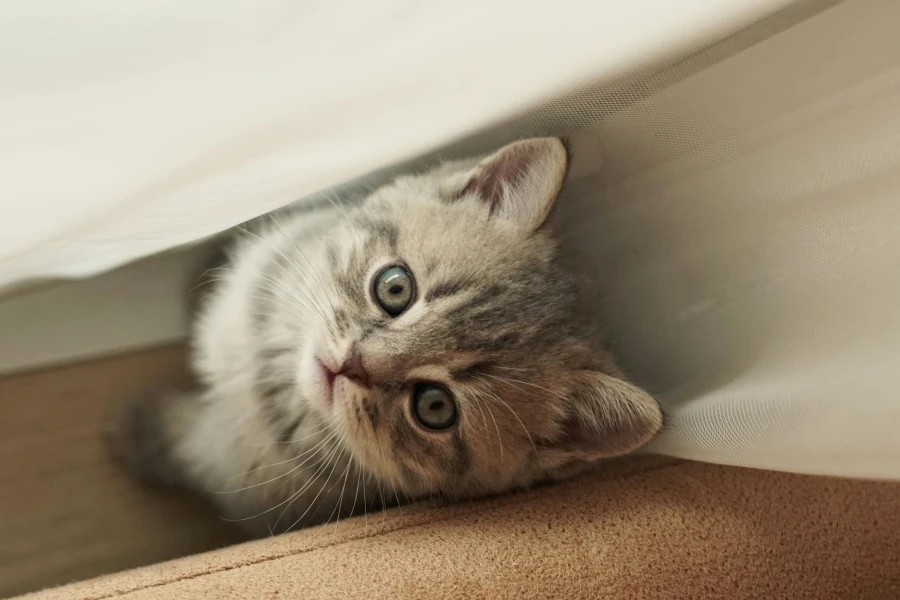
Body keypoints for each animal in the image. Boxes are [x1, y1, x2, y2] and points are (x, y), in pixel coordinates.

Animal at [109, 138, 664, 536]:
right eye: (395, 287)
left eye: (434, 406)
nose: (349, 364)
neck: (270, 378)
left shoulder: (236, 473)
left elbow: (185, 448)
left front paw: (137, 431)